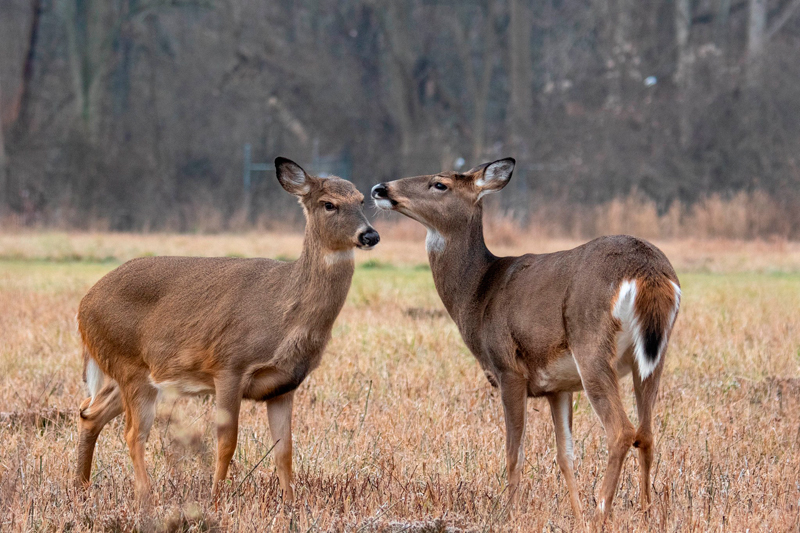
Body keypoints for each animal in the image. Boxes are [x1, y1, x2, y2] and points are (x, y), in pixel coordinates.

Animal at [77, 157, 378, 498]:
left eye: (361, 200)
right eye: (329, 204)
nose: (370, 235)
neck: (285, 313)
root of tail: (83, 307)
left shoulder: (283, 386)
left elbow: (284, 451)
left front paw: (290, 503)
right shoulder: (229, 365)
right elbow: (226, 443)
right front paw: (217, 499)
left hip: (131, 370)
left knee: (89, 412)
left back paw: (80, 486)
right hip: (129, 365)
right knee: (131, 433)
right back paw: (147, 496)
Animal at [372, 158, 680, 524]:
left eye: (440, 184)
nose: (380, 189)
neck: (477, 294)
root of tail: (649, 272)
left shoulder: (508, 368)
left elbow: (513, 453)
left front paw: (508, 513)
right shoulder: (558, 387)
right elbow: (565, 455)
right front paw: (575, 516)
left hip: (591, 346)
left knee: (621, 431)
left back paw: (601, 511)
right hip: (652, 357)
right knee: (646, 433)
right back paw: (646, 513)